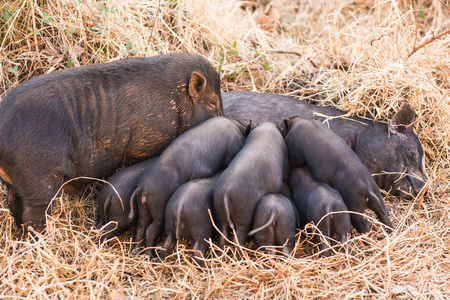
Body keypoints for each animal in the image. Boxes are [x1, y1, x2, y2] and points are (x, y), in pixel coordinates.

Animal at [0, 52, 223, 233]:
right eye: (213, 103)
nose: (225, 118)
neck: (178, 99)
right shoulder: (146, 141)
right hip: (40, 176)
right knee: (34, 214)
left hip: (17, 182)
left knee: (14, 205)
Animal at [130, 116, 251, 256]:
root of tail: (143, 187)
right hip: (158, 208)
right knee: (151, 229)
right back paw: (149, 255)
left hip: (143, 207)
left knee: (141, 226)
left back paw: (137, 252)